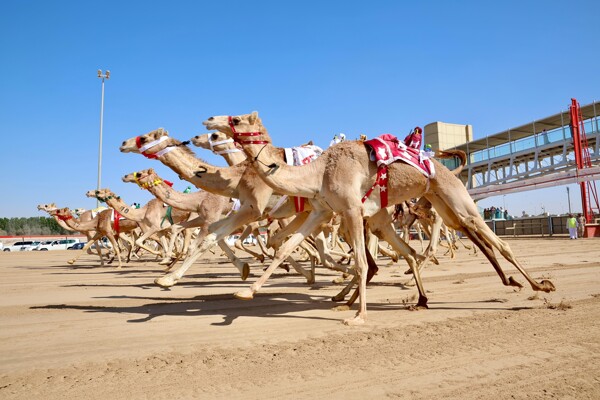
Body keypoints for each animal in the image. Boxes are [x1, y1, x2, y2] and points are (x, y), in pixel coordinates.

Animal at [204, 111, 556, 324]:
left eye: (236, 118)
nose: (209, 122)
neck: (319, 172)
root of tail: (443, 167)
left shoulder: (350, 209)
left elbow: (361, 263)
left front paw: (358, 315)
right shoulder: (323, 210)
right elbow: (287, 247)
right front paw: (245, 292)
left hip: (455, 196)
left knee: (496, 240)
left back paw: (541, 285)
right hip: (440, 203)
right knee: (454, 236)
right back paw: (426, 298)